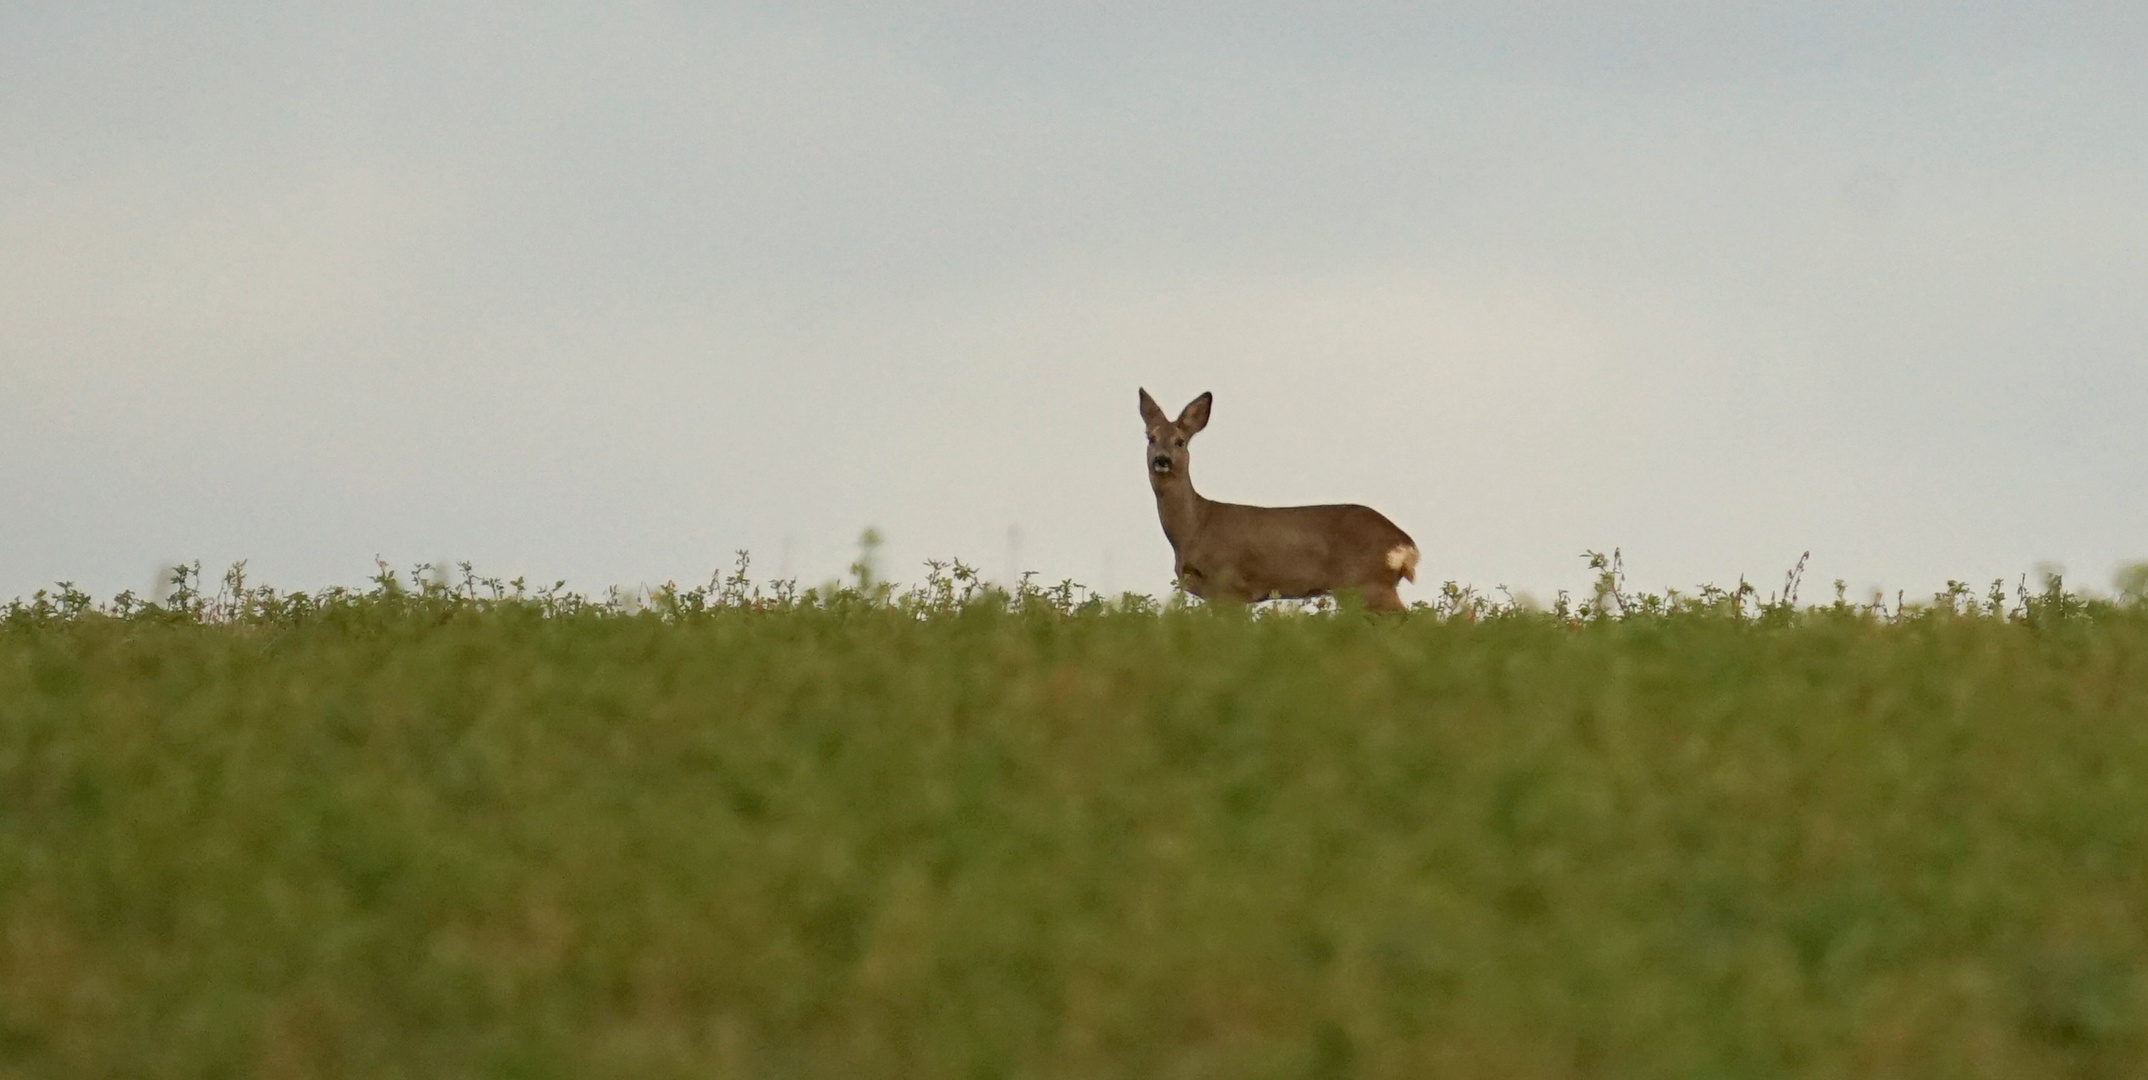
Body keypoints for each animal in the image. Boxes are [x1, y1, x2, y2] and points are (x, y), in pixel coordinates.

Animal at [1134, 388, 1417, 614]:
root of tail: (1406, 544)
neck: (1195, 528)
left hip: (1367, 582)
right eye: (1151, 437)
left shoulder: (1229, 586)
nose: (1162, 459)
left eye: (1180, 441)